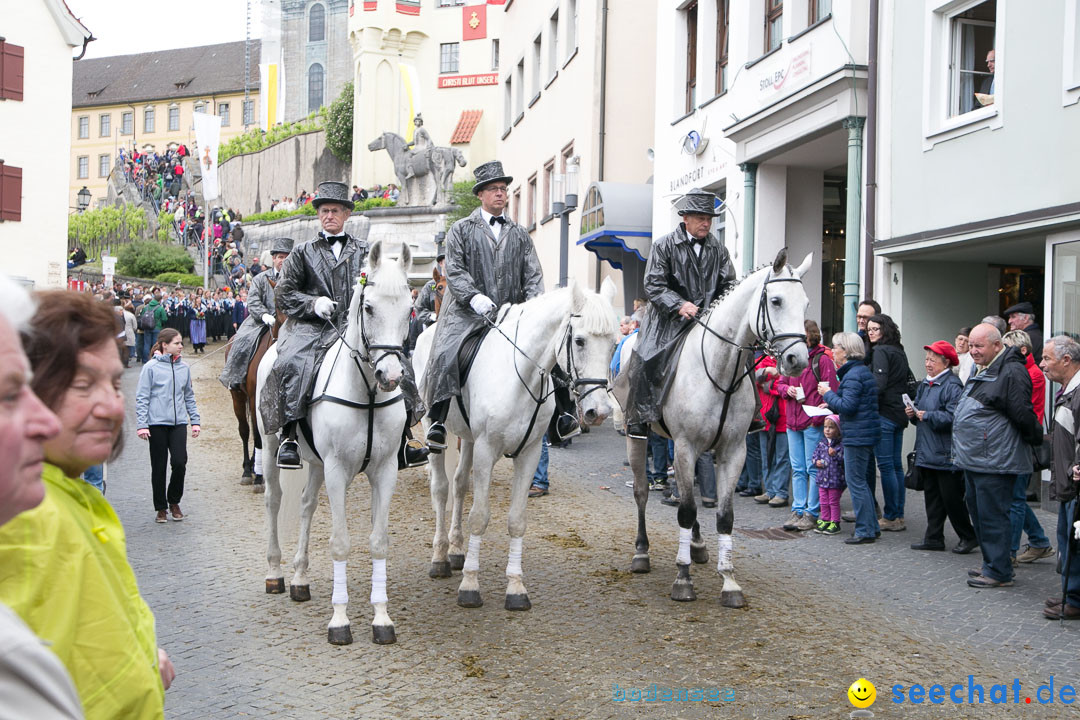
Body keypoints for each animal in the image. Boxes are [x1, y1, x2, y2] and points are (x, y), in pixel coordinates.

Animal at [258, 239, 416, 643]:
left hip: (314, 464)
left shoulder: (384, 471)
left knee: (305, 506)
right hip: (270, 446)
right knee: (274, 500)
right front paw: (340, 621)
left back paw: (299, 578)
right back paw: (275, 574)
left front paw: (382, 618)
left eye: (409, 308)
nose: (391, 375)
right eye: (369, 307)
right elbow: (340, 542)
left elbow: (378, 541)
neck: (367, 393)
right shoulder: (337, 470)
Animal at [410, 278, 622, 613]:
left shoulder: (530, 453)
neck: (520, 375)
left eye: (614, 343)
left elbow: (517, 520)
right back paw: (440, 557)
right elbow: (479, 517)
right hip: (438, 429)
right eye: (579, 341)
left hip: (468, 439)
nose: (598, 412)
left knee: (459, 485)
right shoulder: (486, 451)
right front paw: (470, 585)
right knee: (442, 490)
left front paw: (516, 588)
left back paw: (456, 550)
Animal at [626, 248, 812, 608]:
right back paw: (642, 553)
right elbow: (685, 510)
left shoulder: (732, 450)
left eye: (807, 303)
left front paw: (729, 582)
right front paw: (683, 579)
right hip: (636, 436)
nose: (798, 360)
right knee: (642, 492)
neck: (720, 368)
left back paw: (697, 547)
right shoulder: (685, 446)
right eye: (777, 300)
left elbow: (723, 514)